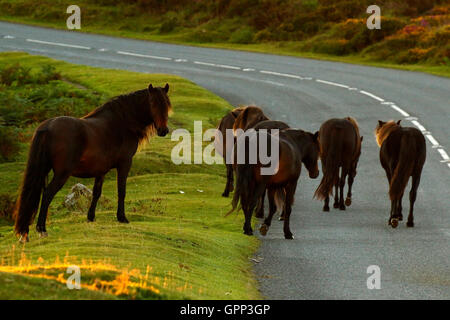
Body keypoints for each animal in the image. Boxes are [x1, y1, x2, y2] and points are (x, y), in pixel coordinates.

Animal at [13, 84, 172, 241]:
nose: (163, 130)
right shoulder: (125, 163)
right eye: (153, 103)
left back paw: (25, 233)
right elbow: (121, 191)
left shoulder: (101, 170)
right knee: (47, 195)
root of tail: (48, 127)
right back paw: (42, 229)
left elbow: (96, 192)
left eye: (166, 104)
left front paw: (91, 217)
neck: (122, 122)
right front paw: (122, 217)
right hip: (62, 174)